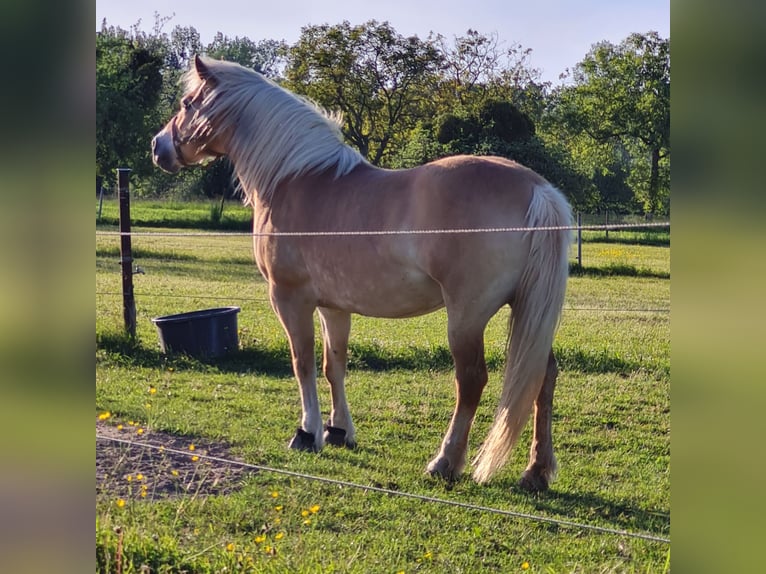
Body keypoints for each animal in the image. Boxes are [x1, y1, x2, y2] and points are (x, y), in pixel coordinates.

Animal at [152, 55, 568, 496]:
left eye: (187, 102)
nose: (158, 147)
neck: (295, 179)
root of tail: (537, 189)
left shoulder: (289, 299)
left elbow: (302, 363)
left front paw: (307, 434)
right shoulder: (333, 307)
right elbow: (333, 365)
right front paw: (339, 432)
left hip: (467, 317)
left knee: (471, 380)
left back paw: (444, 463)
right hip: (527, 310)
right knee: (542, 377)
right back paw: (536, 471)